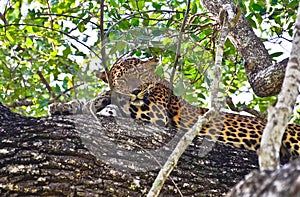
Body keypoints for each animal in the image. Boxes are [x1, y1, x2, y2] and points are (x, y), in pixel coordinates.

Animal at [48, 56, 300, 161]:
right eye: (121, 79)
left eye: (139, 75)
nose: (135, 91)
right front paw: (65, 106)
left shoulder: (156, 115)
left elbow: (118, 103)